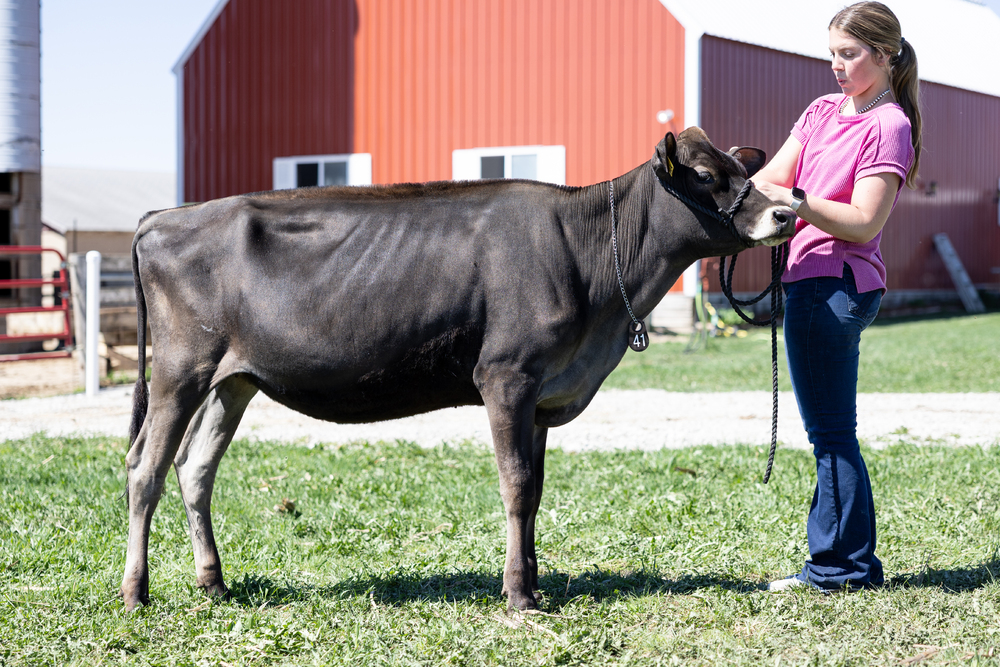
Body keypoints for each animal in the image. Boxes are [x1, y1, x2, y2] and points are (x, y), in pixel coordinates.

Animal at [120, 127, 795, 612]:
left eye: (746, 171)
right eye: (705, 175)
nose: (785, 215)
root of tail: (161, 217)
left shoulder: (544, 394)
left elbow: (536, 489)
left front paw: (533, 582)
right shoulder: (506, 376)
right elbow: (516, 485)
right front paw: (520, 596)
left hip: (233, 380)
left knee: (194, 468)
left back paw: (214, 584)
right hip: (180, 368)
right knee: (144, 468)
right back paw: (136, 593)